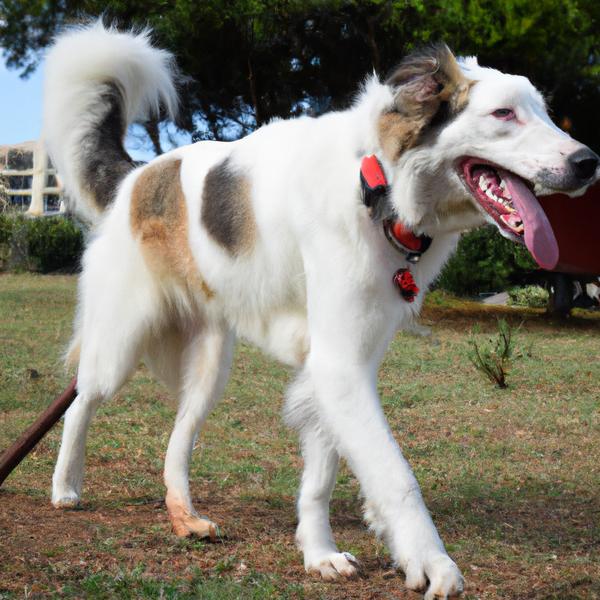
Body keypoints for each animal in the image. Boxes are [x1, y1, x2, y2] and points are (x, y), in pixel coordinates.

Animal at [43, 21, 600, 596]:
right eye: (503, 114)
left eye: (544, 112)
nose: (589, 163)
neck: (377, 185)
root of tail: (134, 178)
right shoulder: (340, 367)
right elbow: (394, 476)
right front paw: (431, 560)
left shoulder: (337, 366)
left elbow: (321, 477)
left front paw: (318, 552)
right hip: (121, 338)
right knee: (80, 401)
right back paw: (66, 486)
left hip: (210, 362)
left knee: (177, 438)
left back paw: (184, 516)